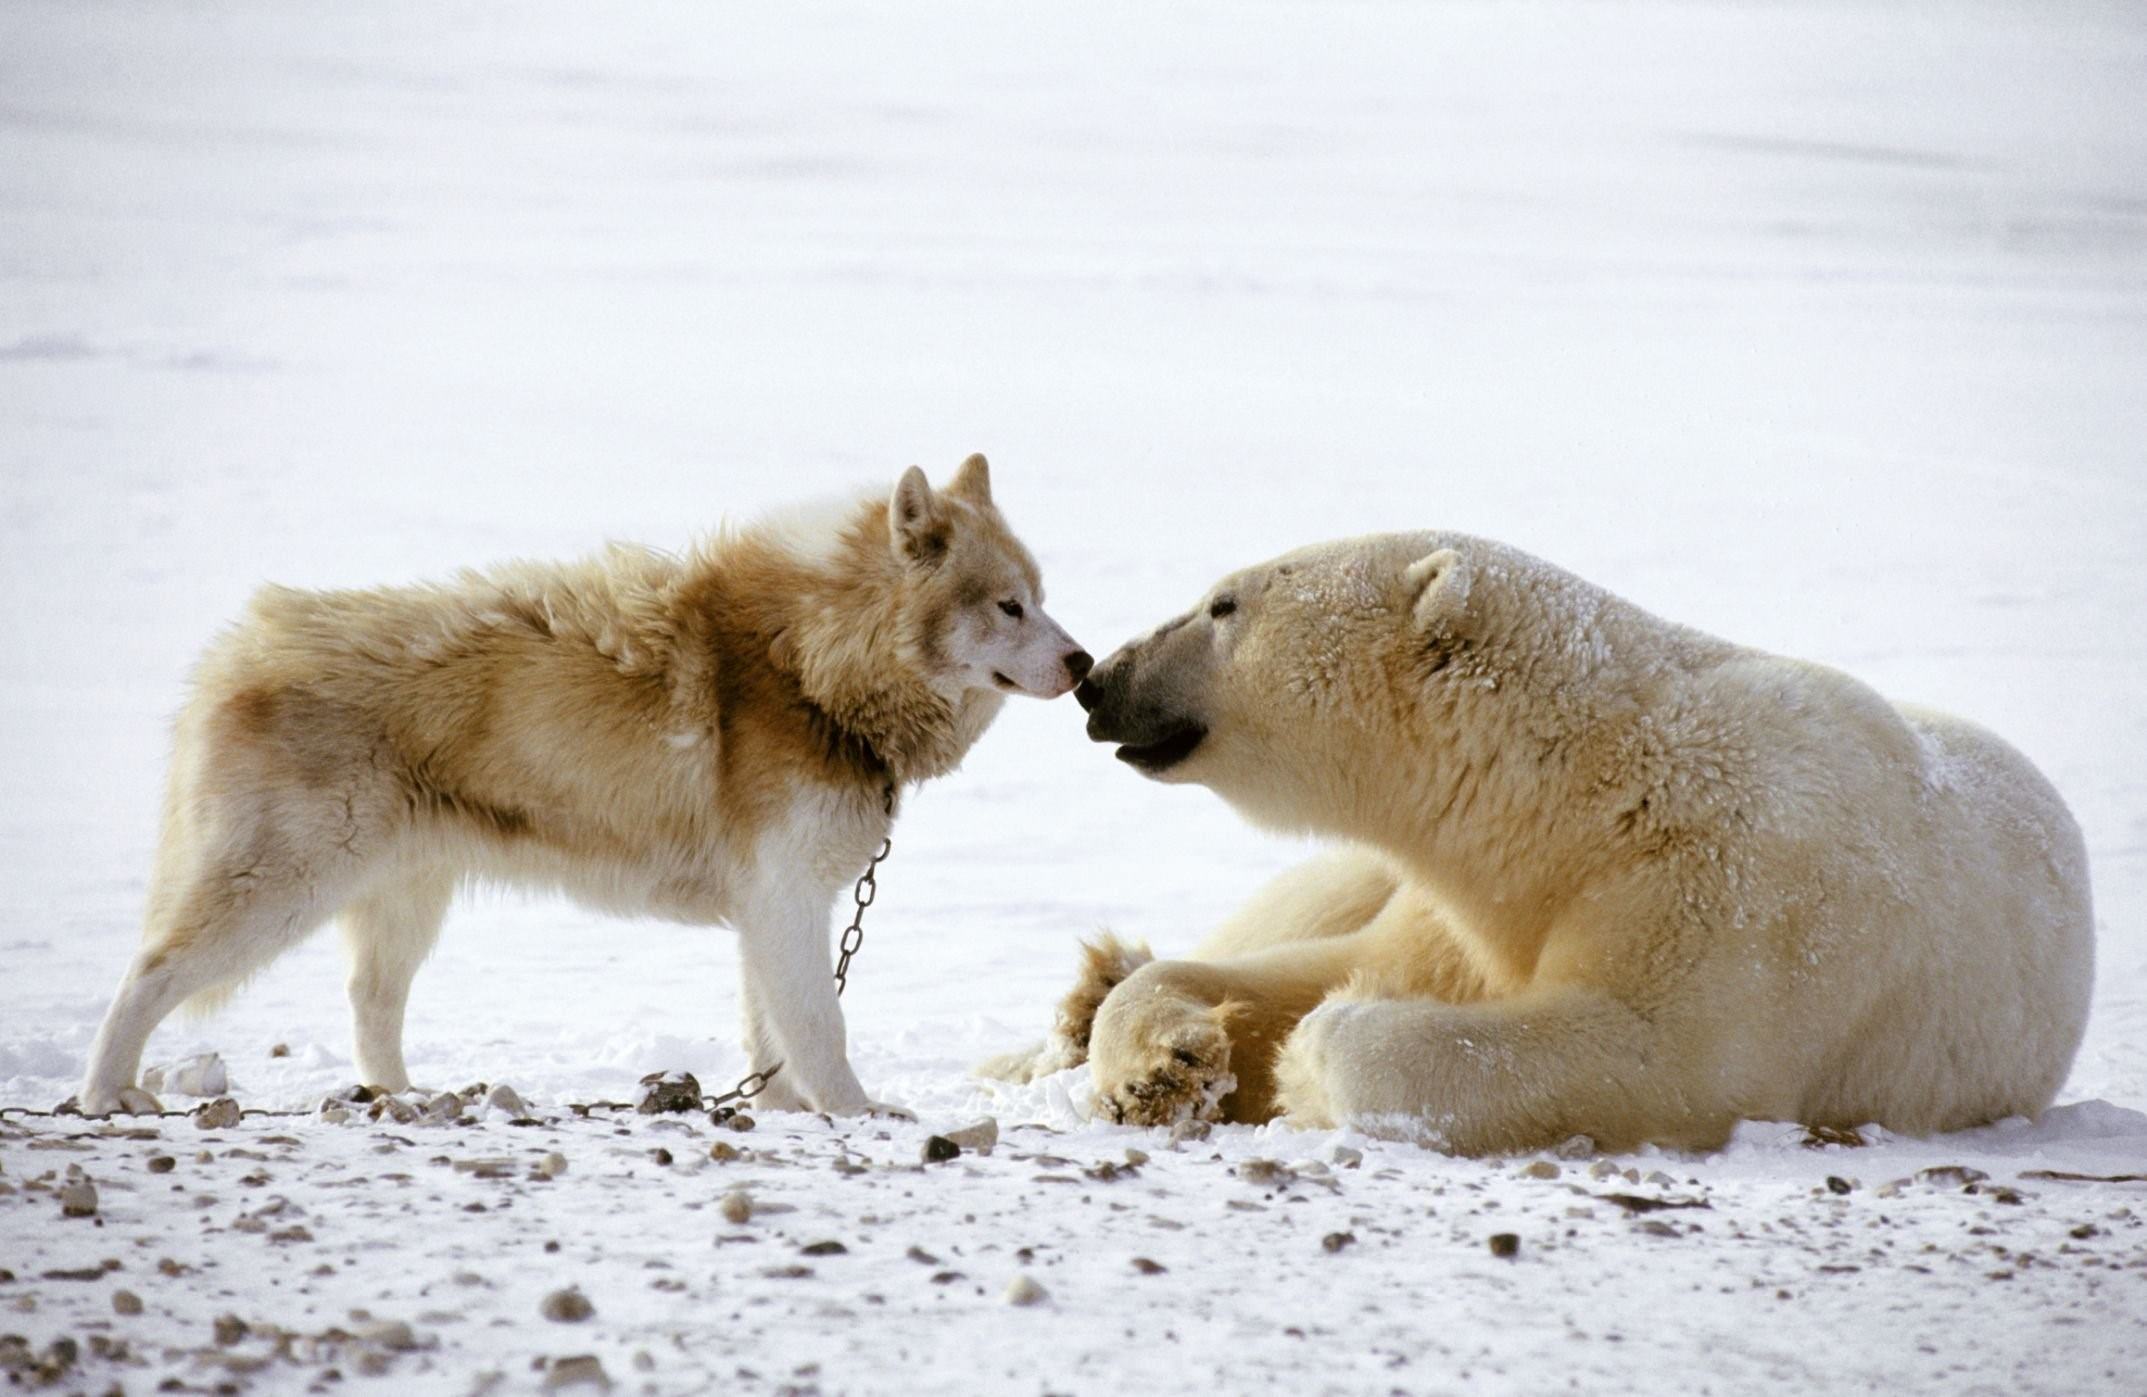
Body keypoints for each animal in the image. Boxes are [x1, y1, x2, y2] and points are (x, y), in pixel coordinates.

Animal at [79, 457, 1090, 1115]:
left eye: (1042, 596)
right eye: (1008, 605)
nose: (1083, 663)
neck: (810, 666)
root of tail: (239, 649)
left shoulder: (771, 909)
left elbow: (771, 1035)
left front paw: (785, 1116)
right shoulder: (785, 900)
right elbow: (820, 1026)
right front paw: (860, 1113)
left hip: (402, 901)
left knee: (371, 1003)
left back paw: (403, 1096)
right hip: (277, 890)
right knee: (146, 972)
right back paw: (104, 1094)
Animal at [991, 530, 2095, 1150]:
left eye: (1223, 603)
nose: (1099, 679)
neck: (1579, 791)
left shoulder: (1737, 890)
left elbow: (1646, 1053)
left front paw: (1304, 1064)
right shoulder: (1452, 893)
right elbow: (1308, 965)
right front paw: (1166, 1062)